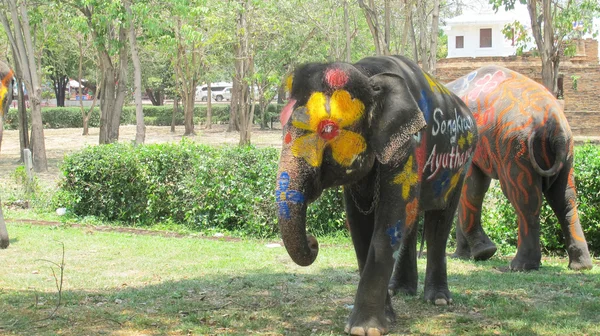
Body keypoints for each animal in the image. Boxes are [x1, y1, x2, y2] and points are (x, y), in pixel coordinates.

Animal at [276, 55, 478, 336]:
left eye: (328, 129)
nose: (313, 241)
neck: (366, 73)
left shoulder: (410, 144)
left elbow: (390, 219)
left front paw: (365, 328)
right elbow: (360, 226)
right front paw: (387, 317)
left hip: (462, 162)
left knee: (440, 219)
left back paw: (438, 300)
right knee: (412, 219)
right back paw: (401, 290)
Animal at [446, 65, 592, 270]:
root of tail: (555, 125)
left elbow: (472, 187)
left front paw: (484, 253)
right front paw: (467, 255)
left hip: (515, 148)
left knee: (524, 198)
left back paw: (519, 267)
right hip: (566, 152)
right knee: (565, 199)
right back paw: (581, 266)